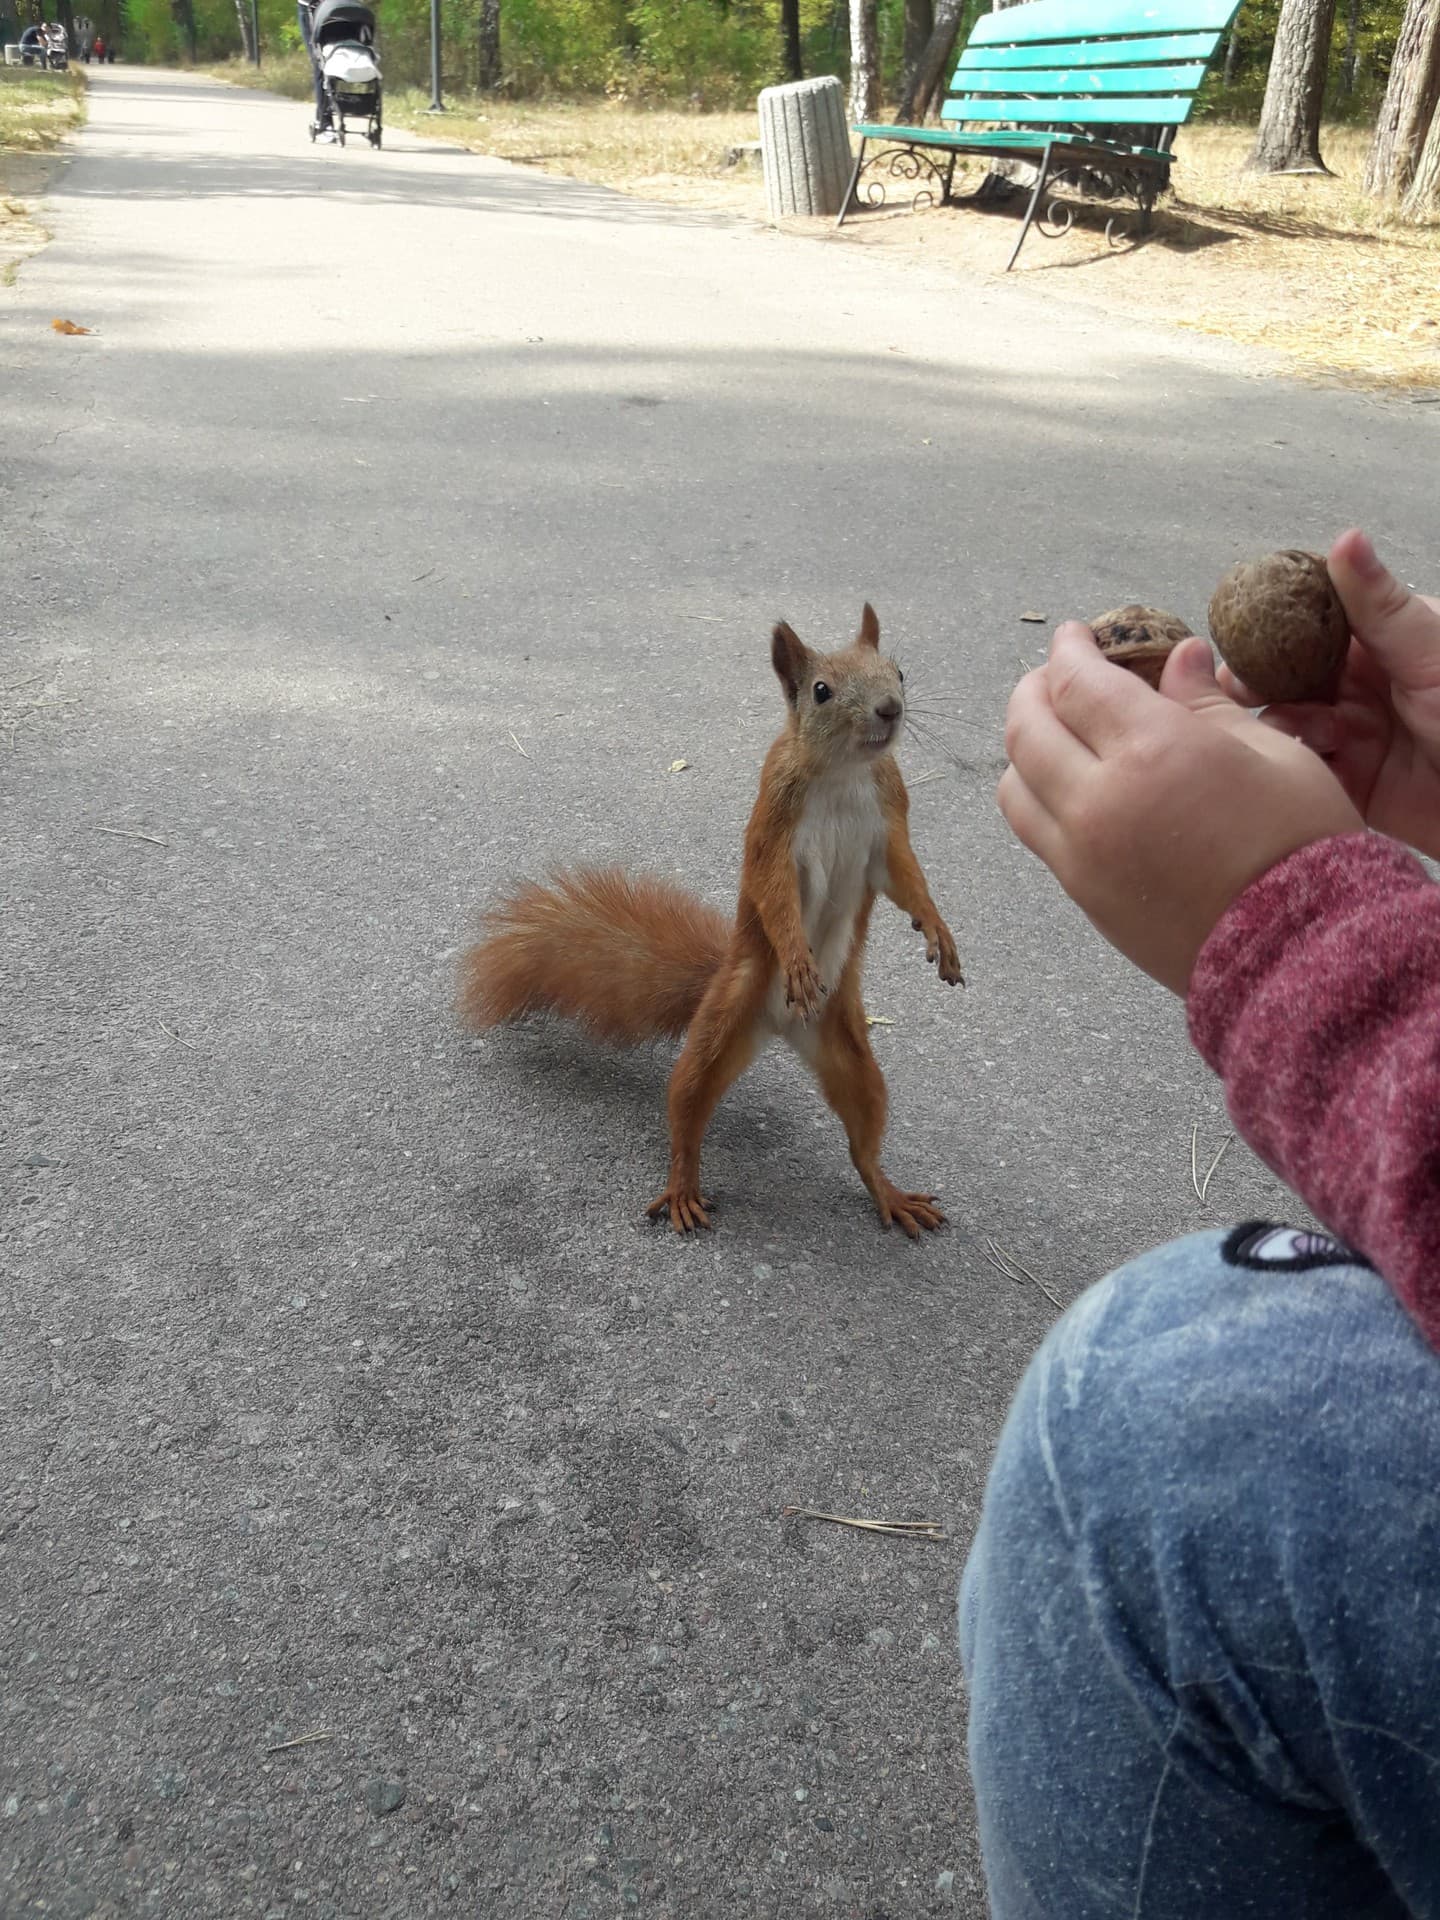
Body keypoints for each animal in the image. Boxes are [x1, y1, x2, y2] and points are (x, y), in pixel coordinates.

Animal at [458, 604, 964, 1237]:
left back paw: (889, 1194)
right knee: (687, 1107)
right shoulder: (775, 827)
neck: (845, 772)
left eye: (899, 672)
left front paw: (939, 929)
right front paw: (797, 956)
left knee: (863, 1135)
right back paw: (682, 1185)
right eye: (821, 691)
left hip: (850, 1054)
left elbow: (906, 878)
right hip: (723, 1019)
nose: (891, 709)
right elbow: (775, 894)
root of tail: (783, 1026)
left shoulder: (888, 820)